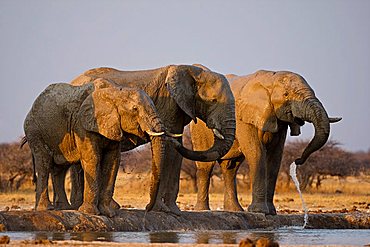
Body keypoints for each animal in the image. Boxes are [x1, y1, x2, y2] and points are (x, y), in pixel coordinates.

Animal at [23, 80, 174, 216]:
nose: (147, 208)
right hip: (34, 131)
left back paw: (63, 208)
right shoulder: (83, 125)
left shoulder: (112, 125)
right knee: (44, 164)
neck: (115, 92)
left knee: (60, 169)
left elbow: (112, 161)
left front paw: (108, 213)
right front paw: (90, 212)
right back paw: (46, 208)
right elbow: (93, 158)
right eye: (135, 109)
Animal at [70, 65, 236, 214]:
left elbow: (175, 155)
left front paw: (174, 211)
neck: (193, 70)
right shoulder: (169, 105)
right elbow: (168, 153)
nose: (147, 208)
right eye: (213, 101)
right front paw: (161, 210)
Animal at [191, 67, 342, 214]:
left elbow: (275, 157)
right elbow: (257, 153)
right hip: (200, 129)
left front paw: (271, 212)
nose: (298, 160)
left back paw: (235, 210)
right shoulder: (242, 118)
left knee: (231, 168)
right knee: (206, 166)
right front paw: (259, 211)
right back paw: (203, 210)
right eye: (286, 94)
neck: (270, 79)